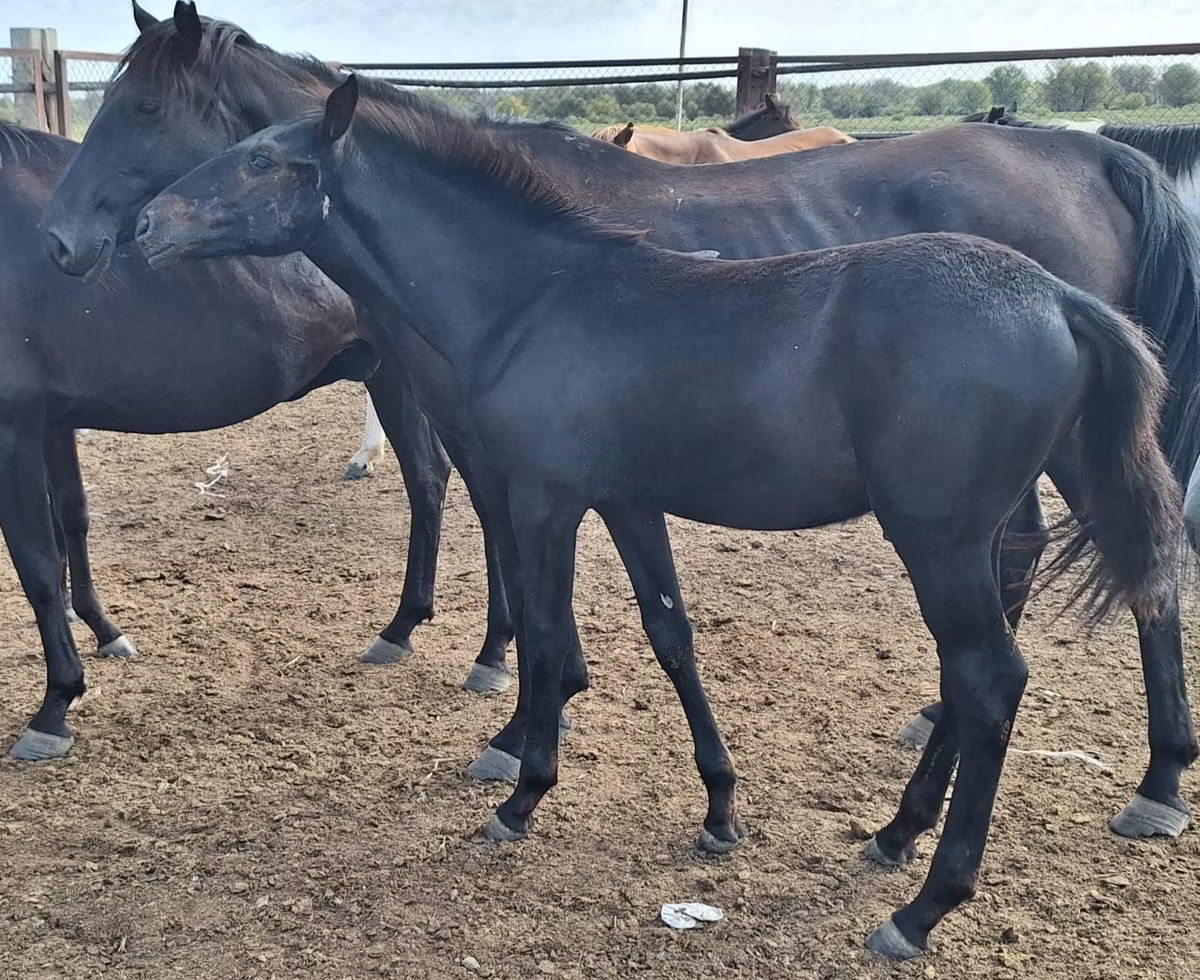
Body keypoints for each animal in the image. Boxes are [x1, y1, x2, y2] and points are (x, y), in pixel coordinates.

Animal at [44, 3, 1200, 842]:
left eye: (147, 111)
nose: (87, 237)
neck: (533, 287)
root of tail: (1060, 295)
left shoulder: (539, 484)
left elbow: (543, 616)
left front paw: (520, 762)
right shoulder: (617, 490)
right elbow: (665, 628)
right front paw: (713, 803)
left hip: (945, 526)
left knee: (1009, 660)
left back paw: (1001, 845)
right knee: (1109, 584)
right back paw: (942, 805)